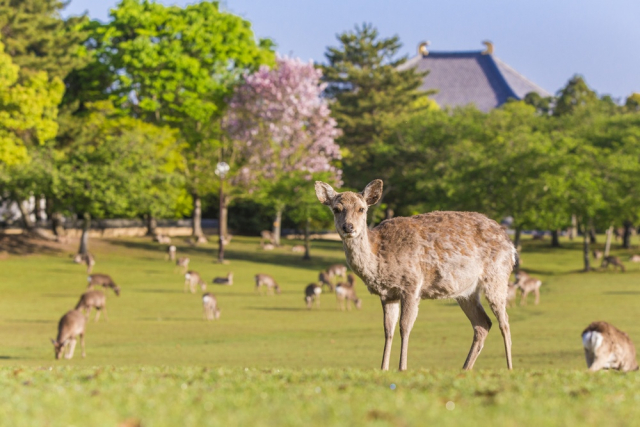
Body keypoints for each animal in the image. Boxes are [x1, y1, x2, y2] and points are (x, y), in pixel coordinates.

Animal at [316, 178, 516, 372]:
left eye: (361, 209)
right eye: (336, 209)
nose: (348, 227)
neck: (380, 259)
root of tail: (510, 244)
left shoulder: (412, 284)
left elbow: (405, 326)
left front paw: (402, 368)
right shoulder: (387, 294)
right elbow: (388, 329)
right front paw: (383, 368)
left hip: (497, 275)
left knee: (504, 322)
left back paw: (509, 368)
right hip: (466, 292)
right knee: (483, 324)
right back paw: (465, 368)